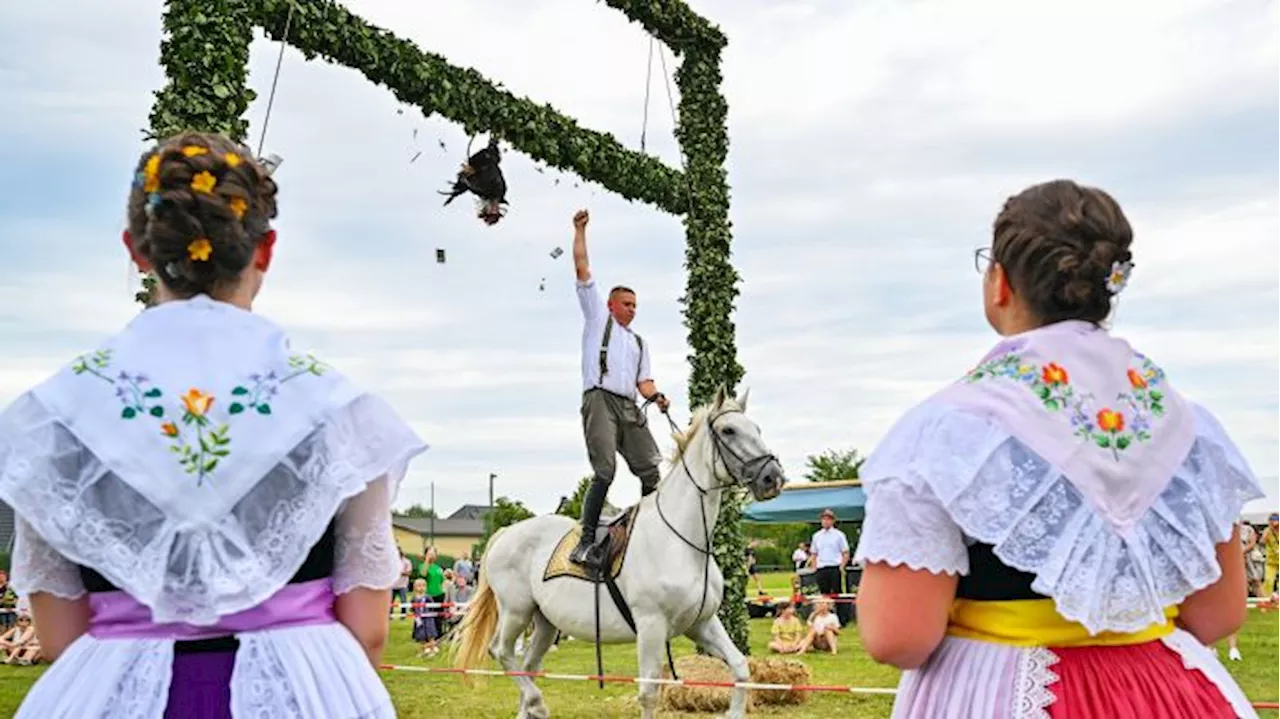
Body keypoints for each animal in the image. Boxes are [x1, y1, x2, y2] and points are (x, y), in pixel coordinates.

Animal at [455, 386, 783, 716]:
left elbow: (741, 667)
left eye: (757, 429)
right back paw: (538, 703)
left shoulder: (702, 623)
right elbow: (649, 693)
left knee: (528, 665)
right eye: (729, 430)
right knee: (501, 651)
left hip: (545, 623)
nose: (773, 477)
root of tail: (506, 532)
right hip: (516, 611)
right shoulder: (651, 627)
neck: (682, 543)